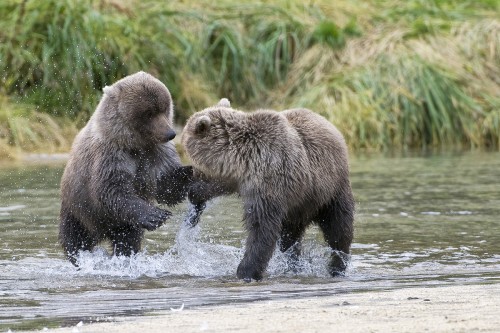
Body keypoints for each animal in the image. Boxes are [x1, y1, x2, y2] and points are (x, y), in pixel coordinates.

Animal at [58, 72, 191, 264]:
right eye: (148, 113)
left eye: (164, 108)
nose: (170, 133)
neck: (134, 145)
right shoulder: (110, 155)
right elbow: (112, 190)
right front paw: (155, 215)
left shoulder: (157, 153)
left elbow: (166, 185)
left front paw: (186, 173)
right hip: (77, 206)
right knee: (74, 237)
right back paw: (78, 257)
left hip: (122, 224)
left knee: (127, 239)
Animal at [182, 98, 354, 280]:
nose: (193, 172)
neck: (242, 159)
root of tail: (330, 124)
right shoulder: (237, 179)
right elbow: (216, 185)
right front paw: (195, 196)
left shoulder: (268, 180)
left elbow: (262, 226)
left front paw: (245, 270)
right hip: (297, 206)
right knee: (290, 237)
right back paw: (292, 265)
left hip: (330, 190)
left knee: (339, 228)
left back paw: (337, 266)